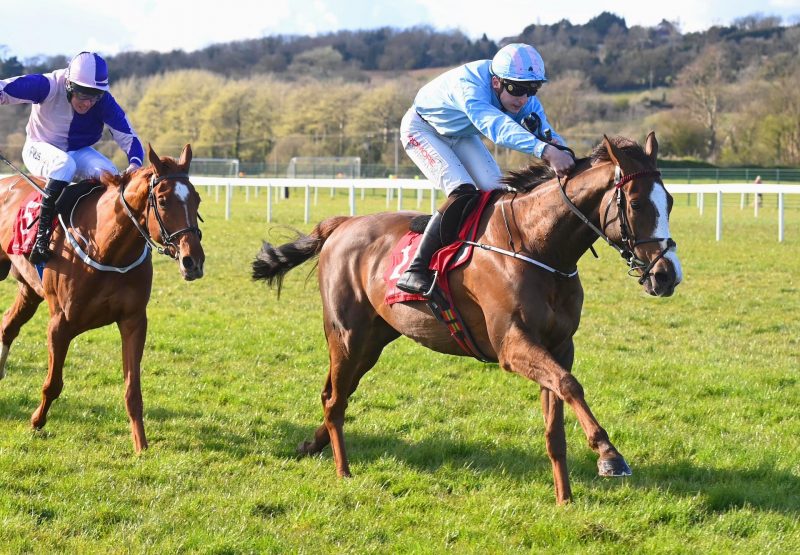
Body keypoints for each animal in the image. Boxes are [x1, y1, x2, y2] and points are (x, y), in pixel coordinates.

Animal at [0, 146, 203, 454]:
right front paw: (36, 421)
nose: (194, 261)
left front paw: (141, 444)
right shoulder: (60, 323)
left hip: (29, 290)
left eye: (197, 199)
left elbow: (133, 390)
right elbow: (53, 383)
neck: (108, 249)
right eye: (163, 201)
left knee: (7, 326)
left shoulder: (134, 320)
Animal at [252, 134, 680, 504]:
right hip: (347, 335)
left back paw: (312, 445)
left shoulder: (559, 345)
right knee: (336, 399)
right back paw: (343, 471)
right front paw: (609, 455)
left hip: (373, 339)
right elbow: (570, 385)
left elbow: (556, 419)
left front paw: (565, 498)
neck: (536, 246)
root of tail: (342, 224)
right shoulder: (511, 345)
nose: (667, 275)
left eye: (671, 202)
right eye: (637, 204)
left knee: (335, 394)